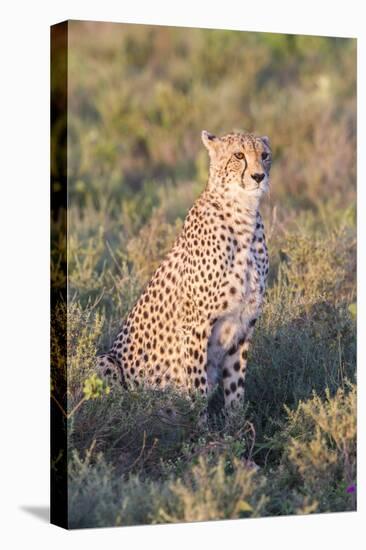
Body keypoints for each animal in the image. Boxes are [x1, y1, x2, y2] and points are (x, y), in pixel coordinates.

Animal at [96, 132, 270, 412]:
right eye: (239, 155)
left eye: (264, 155)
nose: (258, 176)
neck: (243, 215)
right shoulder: (196, 324)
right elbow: (197, 390)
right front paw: (199, 424)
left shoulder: (244, 324)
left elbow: (235, 391)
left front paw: (237, 424)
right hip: (105, 361)